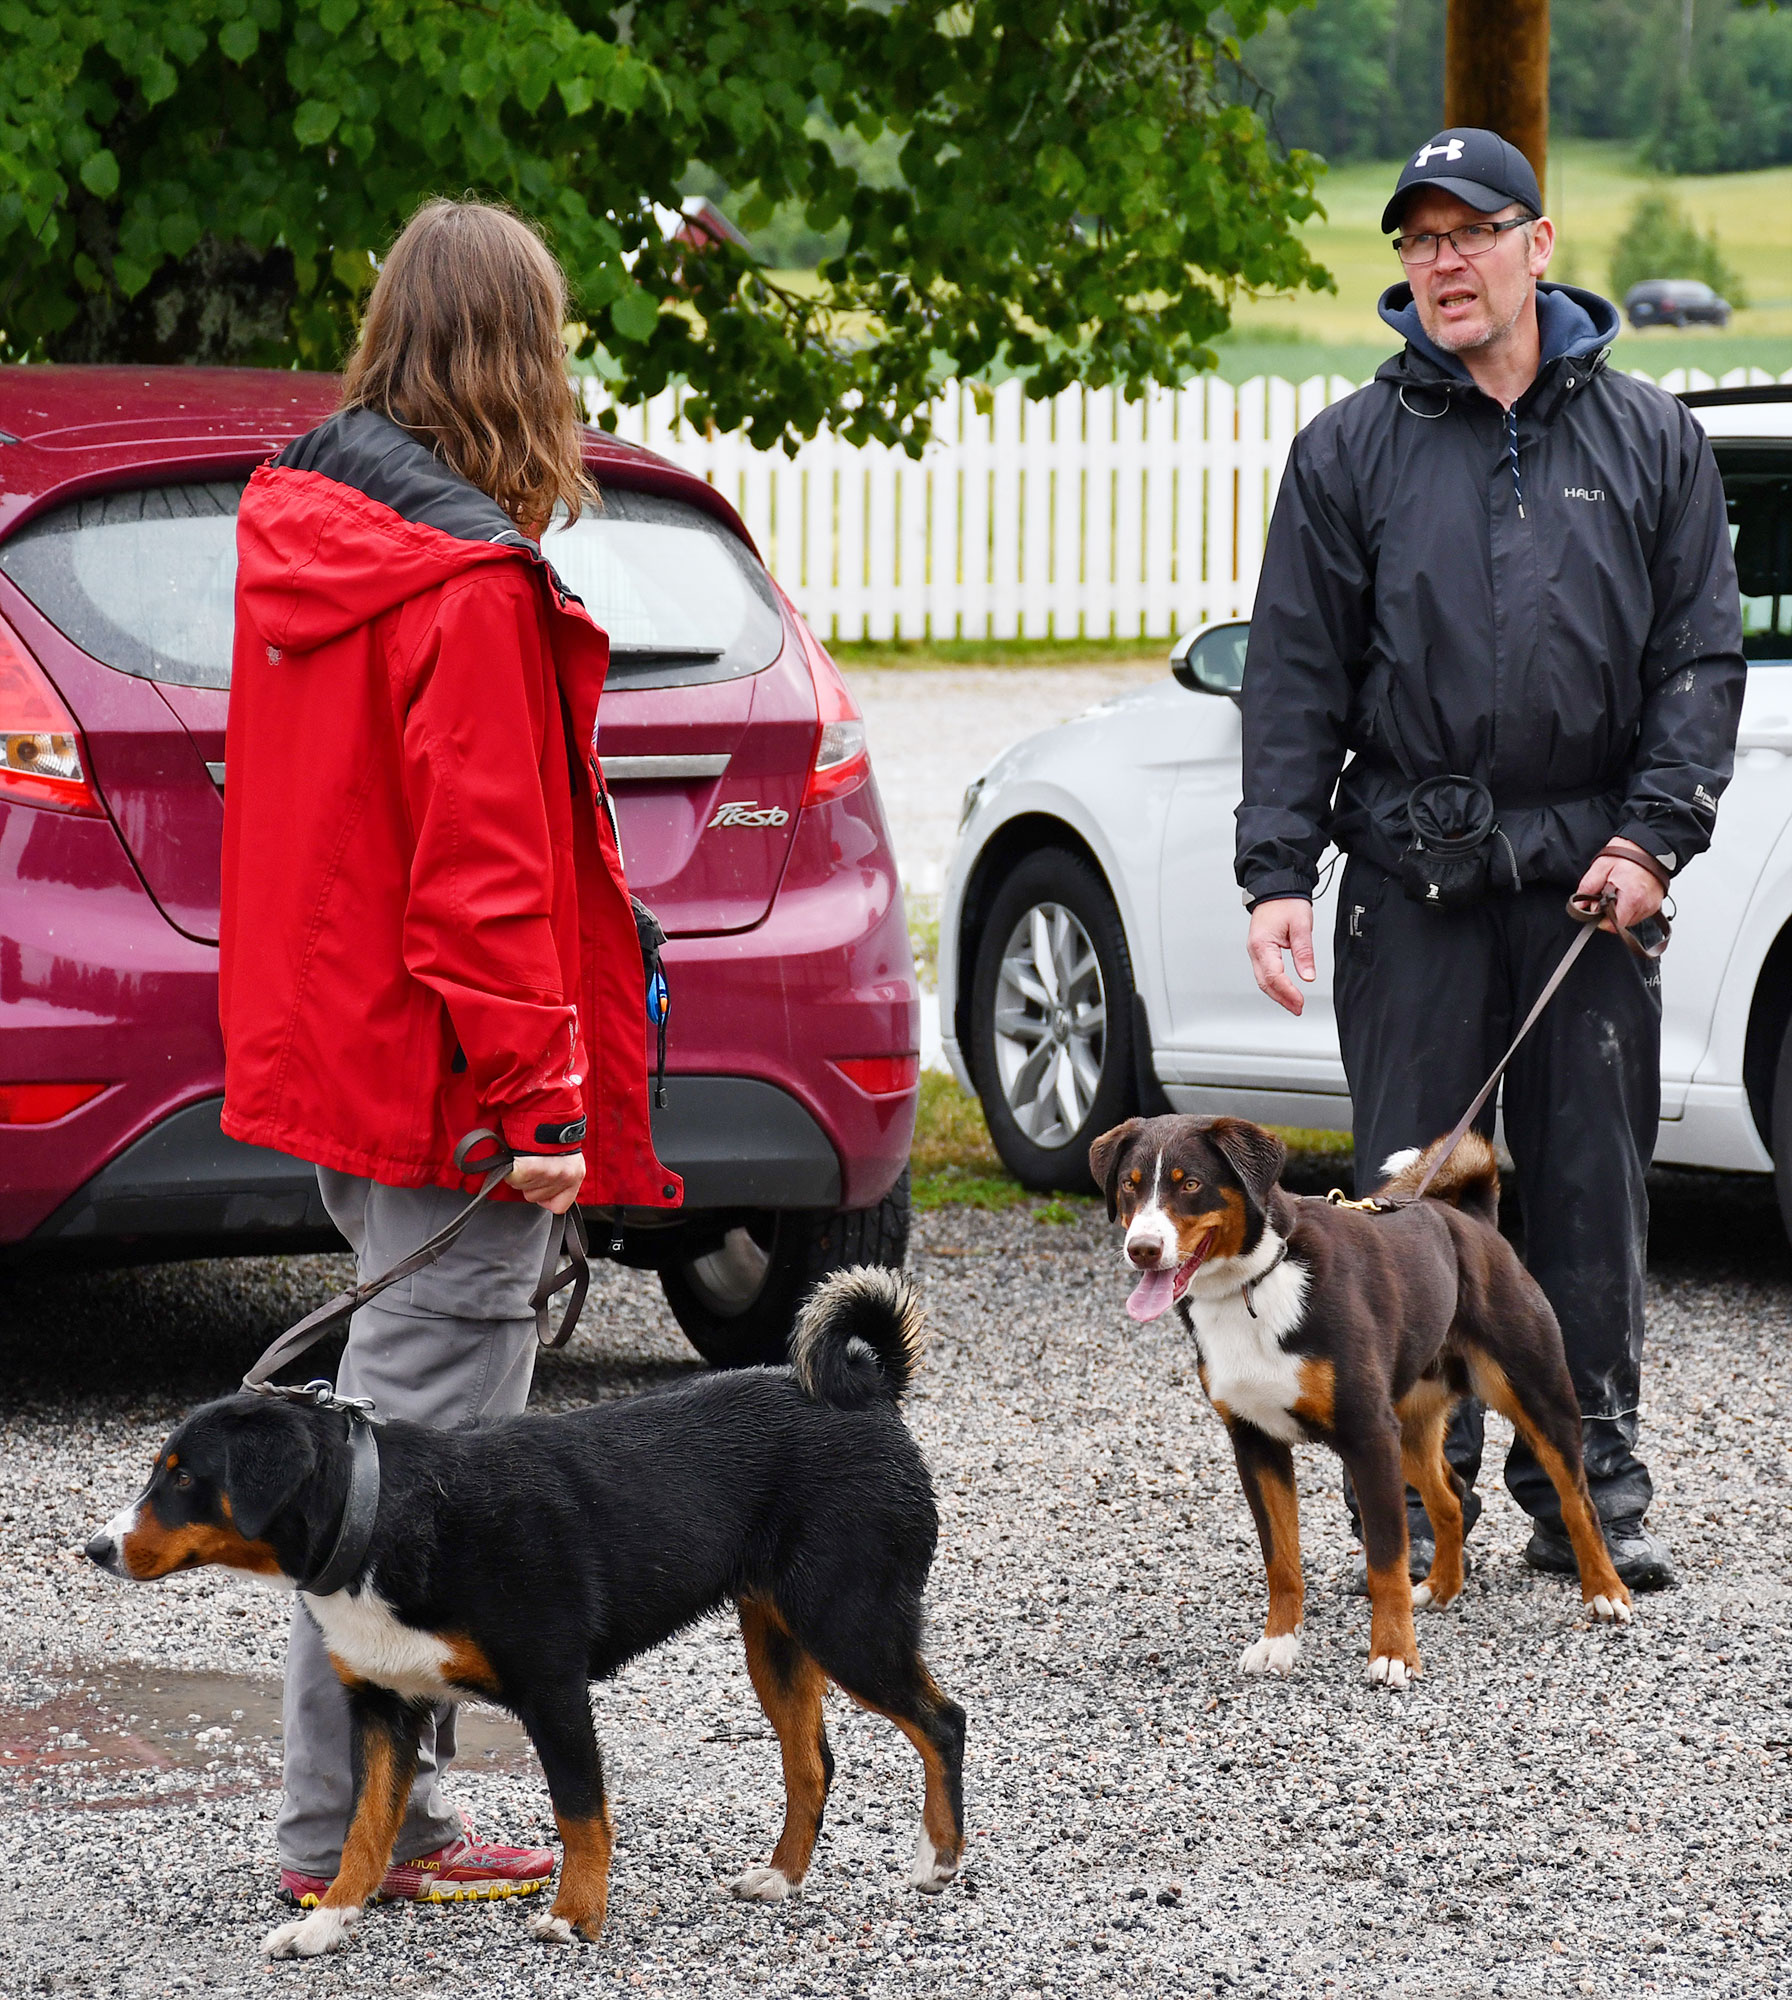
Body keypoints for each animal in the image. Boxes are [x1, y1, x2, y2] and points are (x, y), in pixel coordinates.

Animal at [86, 1280, 968, 1952]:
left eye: (183, 1478)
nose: (95, 1548)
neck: (384, 1515)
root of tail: (870, 1398)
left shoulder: (554, 1688)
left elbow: (580, 1813)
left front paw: (576, 1917)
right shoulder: (384, 1708)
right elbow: (364, 1832)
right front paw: (328, 1921)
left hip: (849, 1623)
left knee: (942, 1721)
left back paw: (939, 1860)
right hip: (778, 1639)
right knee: (811, 1761)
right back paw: (780, 1877)